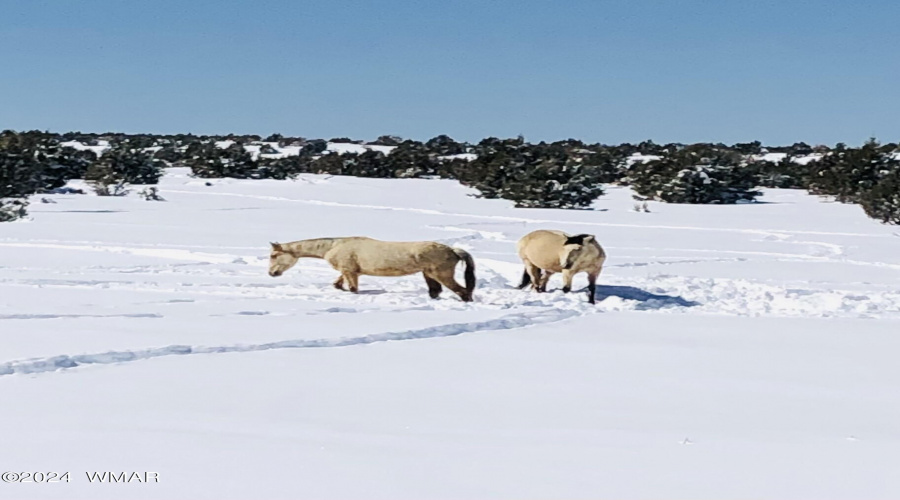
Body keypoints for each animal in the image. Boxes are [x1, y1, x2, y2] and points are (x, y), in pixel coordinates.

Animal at [268, 237, 478, 302]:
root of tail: (453, 250)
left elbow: (353, 289)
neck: (333, 246)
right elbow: (338, 284)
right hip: (429, 274)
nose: (271, 274)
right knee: (436, 291)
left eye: (273, 255)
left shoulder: (350, 271)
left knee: (463, 291)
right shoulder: (349, 271)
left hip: (440, 274)